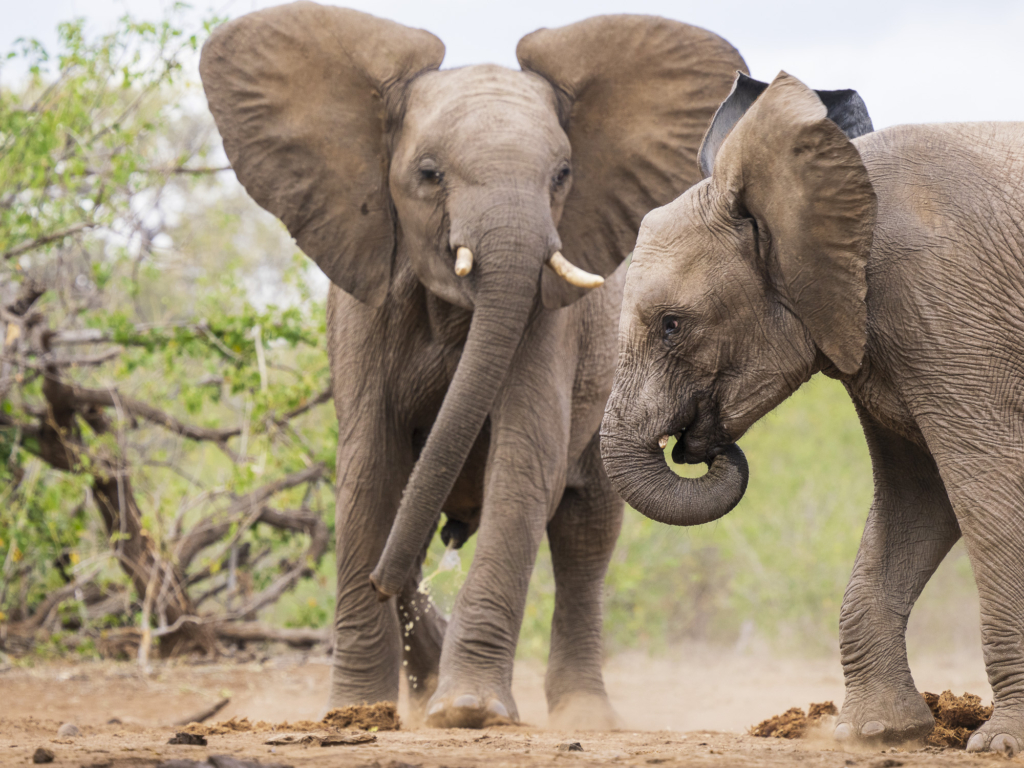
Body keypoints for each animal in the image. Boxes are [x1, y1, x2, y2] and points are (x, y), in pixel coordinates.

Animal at [199, 0, 745, 729]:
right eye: (429, 174)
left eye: (561, 176)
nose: (380, 580)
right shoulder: (364, 305)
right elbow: (371, 468)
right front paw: (357, 713)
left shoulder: (547, 317)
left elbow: (522, 460)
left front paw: (469, 711)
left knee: (586, 535)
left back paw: (581, 717)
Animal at [598, 72, 1024, 757]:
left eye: (671, 325)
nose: (700, 446)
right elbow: (915, 497)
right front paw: (874, 734)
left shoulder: (949, 310)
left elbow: (991, 492)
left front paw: (998, 746)